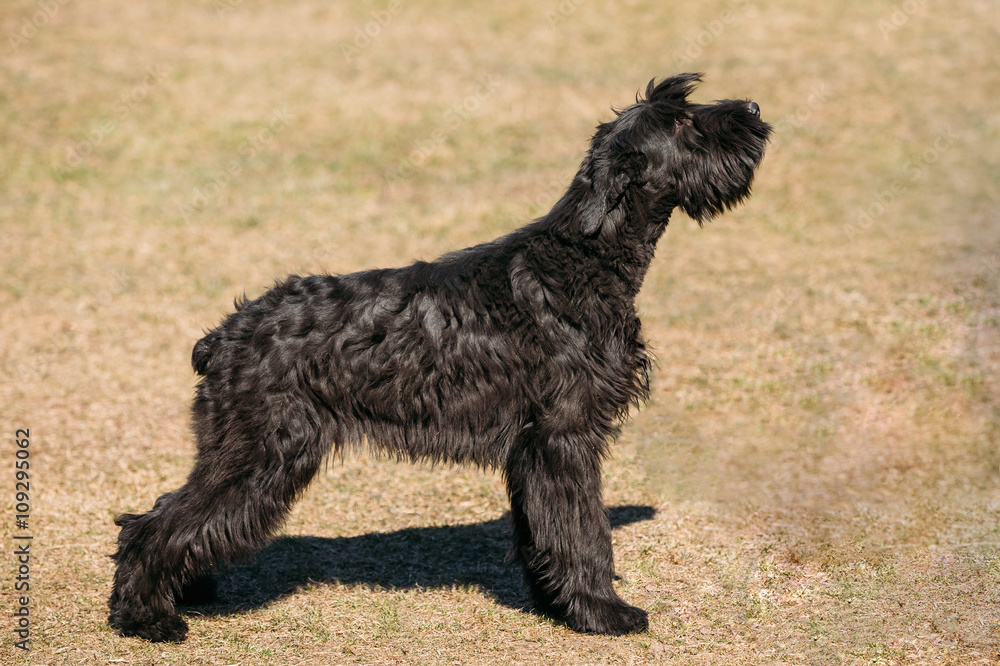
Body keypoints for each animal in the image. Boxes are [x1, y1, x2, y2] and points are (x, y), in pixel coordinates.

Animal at [111, 75, 772, 640]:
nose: (754, 108)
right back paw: (148, 618)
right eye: (683, 121)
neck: (582, 260)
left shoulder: (533, 448)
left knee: (168, 513)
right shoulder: (565, 436)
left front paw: (554, 603)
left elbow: (541, 530)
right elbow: (584, 529)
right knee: (152, 525)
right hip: (262, 452)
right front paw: (602, 611)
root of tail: (222, 336)